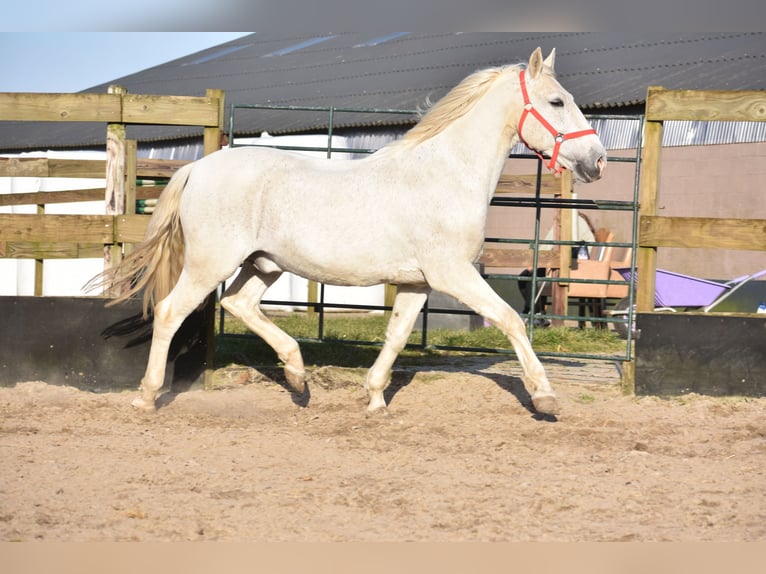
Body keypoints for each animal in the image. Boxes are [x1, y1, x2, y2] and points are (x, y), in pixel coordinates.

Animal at [100, 47, 608, 416]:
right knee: (170, 312)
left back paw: (298, 376)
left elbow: (397, 336)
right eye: (557, 101)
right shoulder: (453, 274)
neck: (445, 173)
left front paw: (375, 398)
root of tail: (198, 168)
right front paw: (544, 396)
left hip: (263, 265)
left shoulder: (418, 282)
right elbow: (510, 320)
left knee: (238, 304)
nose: (597, 161)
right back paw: (147, 396)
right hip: (210, 264)